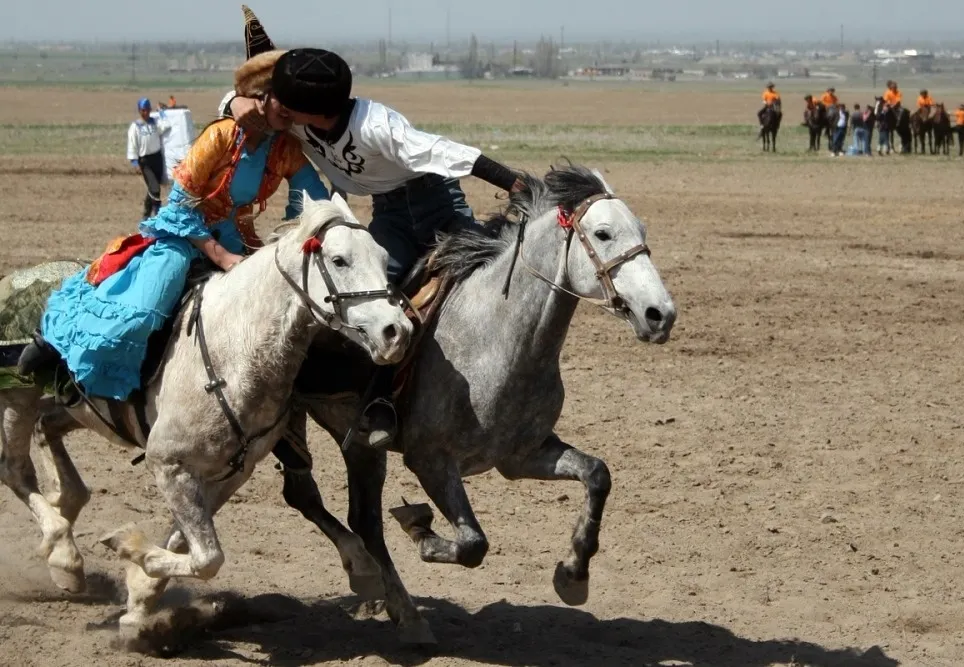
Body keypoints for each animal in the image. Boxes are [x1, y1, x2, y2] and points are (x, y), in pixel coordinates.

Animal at [0, 193, 413, 642]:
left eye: (383, 257)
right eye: (339, 260)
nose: (398, 332)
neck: (232, 350)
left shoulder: (230, 472)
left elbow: (187, 545)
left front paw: (139, 601)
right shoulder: (170, 465)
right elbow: (207, 558)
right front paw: (127, 549)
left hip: (74, 406)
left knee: (46, 431)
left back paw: (67, 514)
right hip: (16, 398)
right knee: (15, 470)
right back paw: (64, 555)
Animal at [277, 163, 677, 643]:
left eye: (642, 230)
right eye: (602, 233)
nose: (660, 314)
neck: (494, 337)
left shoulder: (522, 455)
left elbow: (597, 475)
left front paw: (573, 574)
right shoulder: (431, 461)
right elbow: (472, 544)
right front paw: (421, 530)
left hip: (359, 445)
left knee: (356, 516)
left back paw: (394, 603)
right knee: (327, 504)